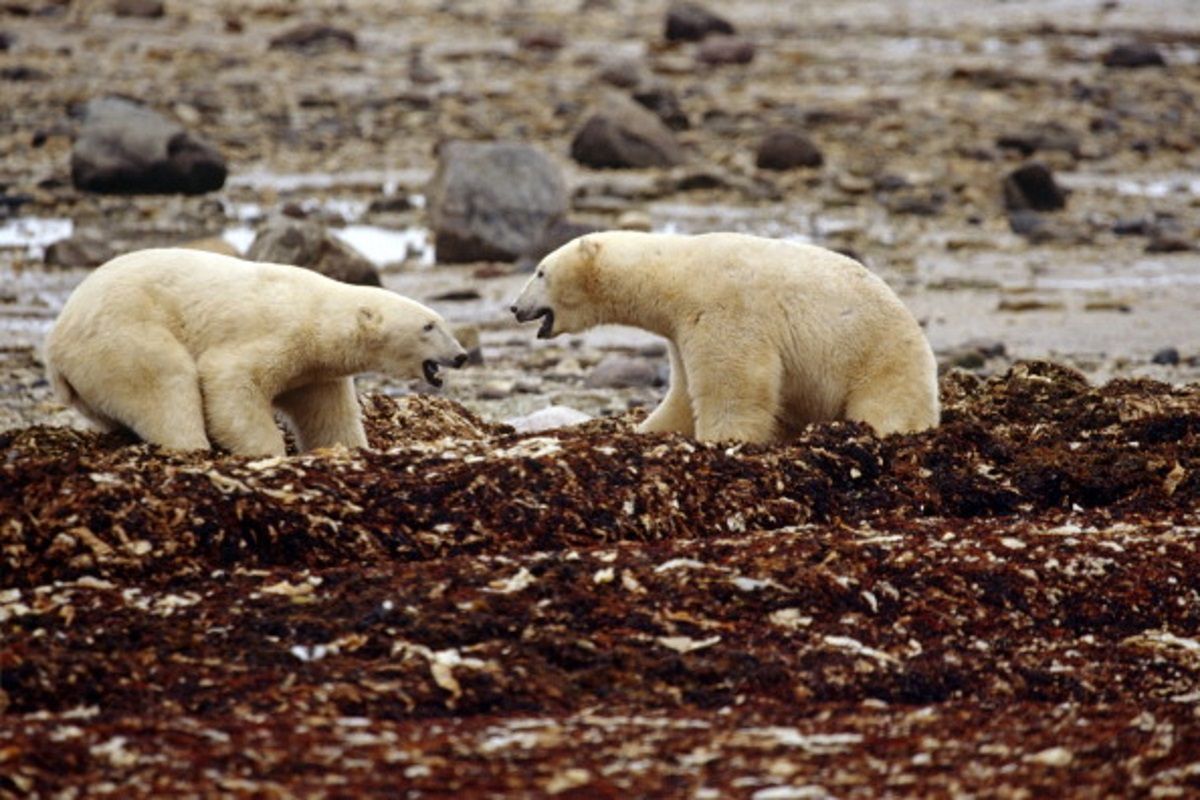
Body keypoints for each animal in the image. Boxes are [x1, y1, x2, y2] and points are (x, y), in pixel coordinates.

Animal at [45, 250, 468, 460]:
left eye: (441, 321)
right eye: (429, 326)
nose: (462, 356)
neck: (319, 314)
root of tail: (56, 344)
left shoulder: (315, 371)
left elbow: (327, 413)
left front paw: (349, 450)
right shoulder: (276, 332)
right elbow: (230, 380)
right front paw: (267, 453)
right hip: (123, 334)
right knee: (166, 384)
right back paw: (193, 449)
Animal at [511, 231, 940, 443]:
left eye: (540, 271)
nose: (515, 307)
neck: (676, 274)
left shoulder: (724, 307)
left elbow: (733, 383)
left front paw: (721, 442)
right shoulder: (680, 328)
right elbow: (683, 394)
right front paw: (646, 431)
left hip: (879, 356)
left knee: (888, 403)